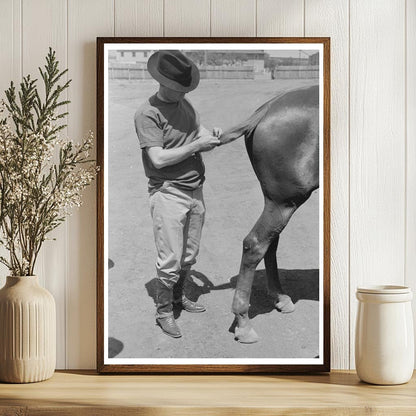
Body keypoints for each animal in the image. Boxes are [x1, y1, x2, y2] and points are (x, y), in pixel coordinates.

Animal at [219, 85, 320, 344]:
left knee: (269, 243)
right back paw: (243, 322)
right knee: (255, 244)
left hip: (279, 205)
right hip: (283, 202)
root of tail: (266, 109)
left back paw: (280, 297)